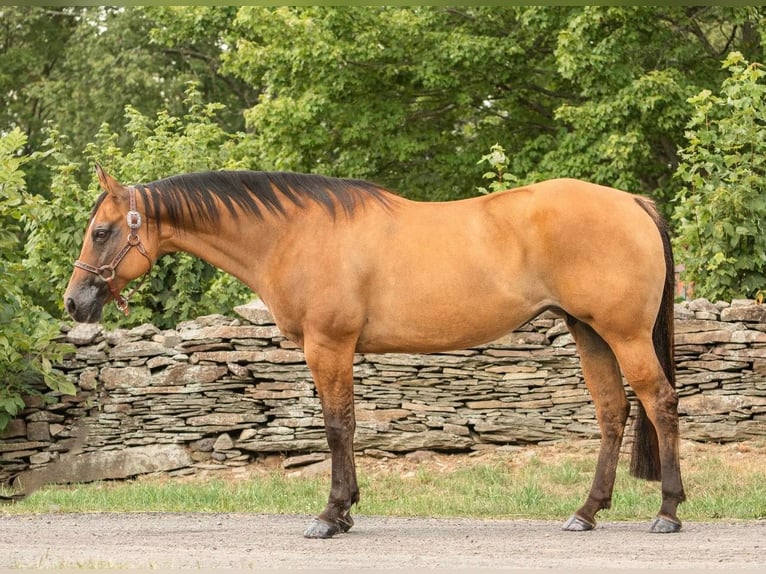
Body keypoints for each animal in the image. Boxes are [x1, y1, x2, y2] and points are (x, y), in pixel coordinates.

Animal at [64, 165, 688, 540]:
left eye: (101, 231)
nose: (74, 302)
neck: (295, 234)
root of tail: (633, 203)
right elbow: (347, 425)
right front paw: (346, 511)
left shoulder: (329, 346)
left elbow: (338, 426)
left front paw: (331, 515)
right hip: (590, 333)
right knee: (613, 413)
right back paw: (586, 512)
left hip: (624, 335)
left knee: (660, 403)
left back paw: (667, 511)